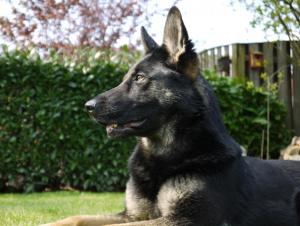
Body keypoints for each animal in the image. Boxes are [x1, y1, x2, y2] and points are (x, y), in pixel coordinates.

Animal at [42, 6, 300, 226]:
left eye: (139, 78)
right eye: (125, 78)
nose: (88, 106)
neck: (163, 154)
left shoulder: (186, 219)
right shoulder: (131, 215)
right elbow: (76, 218)